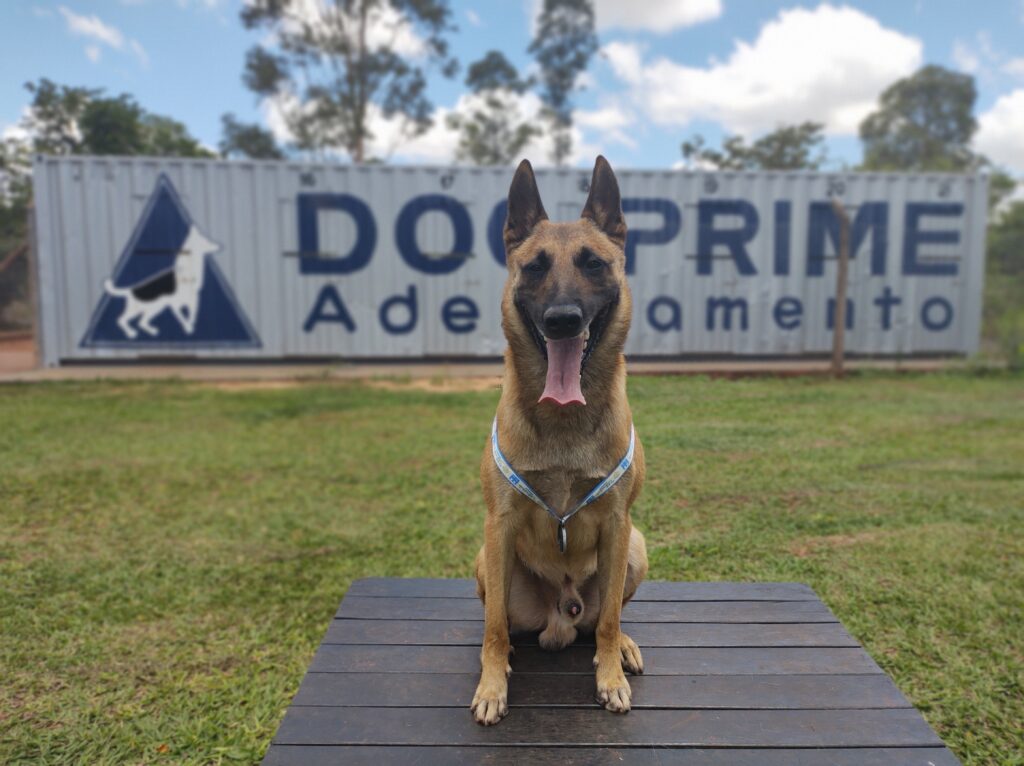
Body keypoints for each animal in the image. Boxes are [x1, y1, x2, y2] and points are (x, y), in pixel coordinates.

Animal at [471, 153, 647, 725]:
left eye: (593, 264)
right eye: (535, 267)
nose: (563, 320)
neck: (563, 423)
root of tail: (562, 613)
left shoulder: (617, 524)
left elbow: (609, 619)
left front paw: (610, 677)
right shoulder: (499, 524)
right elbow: (495, 629)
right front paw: (492, 686)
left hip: (636, 548)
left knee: (604, 618)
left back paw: (623, 647)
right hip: (487, 560)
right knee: (503, 624)